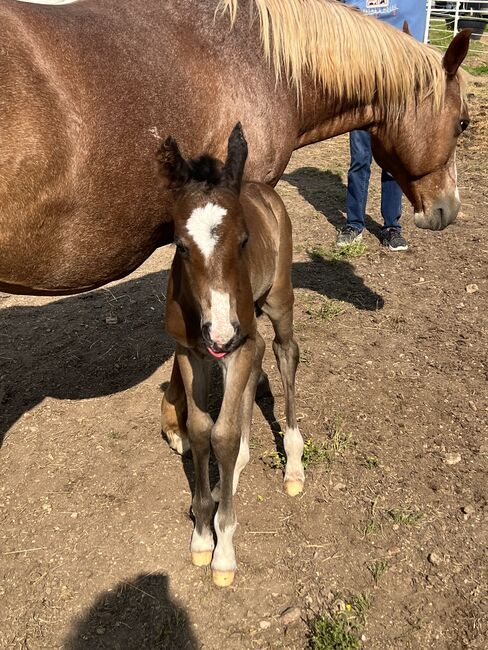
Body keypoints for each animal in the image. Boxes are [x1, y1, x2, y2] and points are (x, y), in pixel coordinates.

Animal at [158, 124, 304, 584]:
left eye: (243, 240)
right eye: (180, 246)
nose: (221, 332)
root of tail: (260, 187)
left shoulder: (236, 345)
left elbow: (222, 434)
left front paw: (224, 546)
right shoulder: (190, 352)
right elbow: (201, 429)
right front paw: (203, 531)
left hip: (277, 300)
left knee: (284, 352)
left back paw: (294, 460)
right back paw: (235, 471)